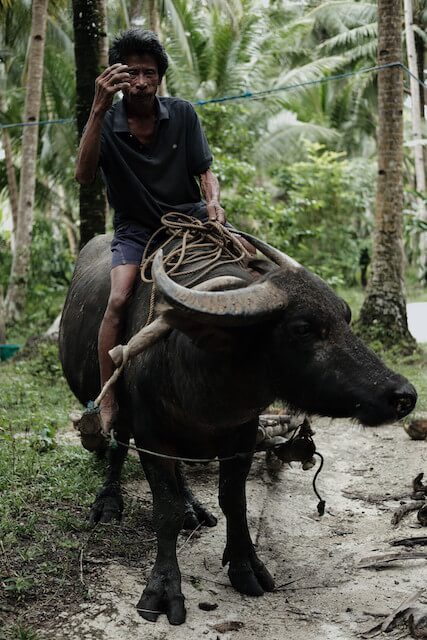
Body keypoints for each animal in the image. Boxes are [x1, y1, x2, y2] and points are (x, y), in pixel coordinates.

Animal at [58, 230, 416, 624]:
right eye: (303, 329)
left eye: (346, 317)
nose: (403, 396)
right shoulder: (152, 436)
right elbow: (164, 511)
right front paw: (163, 588)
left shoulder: (241, 435)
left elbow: (234, 500)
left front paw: (245, 566)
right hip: (117, 410)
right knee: (118, 443)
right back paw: (109, 501)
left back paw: (192, 507)